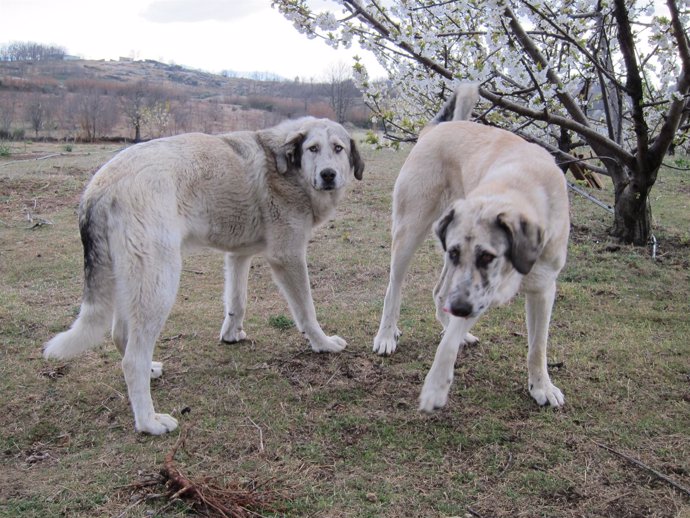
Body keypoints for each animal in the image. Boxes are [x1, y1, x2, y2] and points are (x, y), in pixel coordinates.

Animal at [43, 118, 362, 434]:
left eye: (338, 148)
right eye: (312, 148)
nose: (328, 175)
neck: (286, 166)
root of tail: (100, 185)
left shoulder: (238, 256)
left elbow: (237, 302)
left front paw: (231, 335)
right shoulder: (288, 257)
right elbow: (307, 311)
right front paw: (322, 344)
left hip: (131, 282)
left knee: (121, 336)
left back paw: (150, 371)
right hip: (160, 282)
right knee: (132, 360)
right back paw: (148, 421)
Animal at [374, 85, 568, 414]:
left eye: (487, 256)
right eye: (457, 252)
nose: (461, 309)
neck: (520, 185)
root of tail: (433, 130)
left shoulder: (541, 288)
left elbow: (538, 346)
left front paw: (541, 386)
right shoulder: (476, 291)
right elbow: (447, 343)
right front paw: (436, 387)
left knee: (439, 293)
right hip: (409, 232)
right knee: (394, 288)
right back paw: (387, 334)